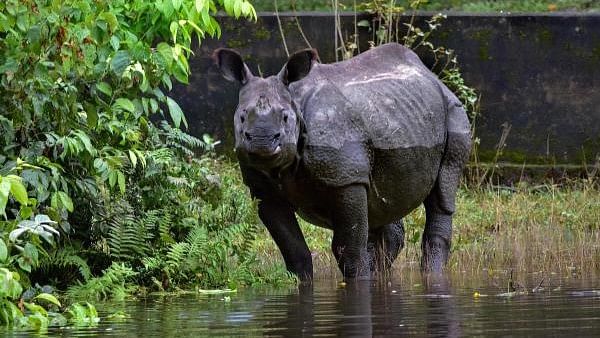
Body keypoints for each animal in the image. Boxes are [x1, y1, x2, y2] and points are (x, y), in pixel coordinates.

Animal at [213, 43, 472, 282]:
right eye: (242, 117)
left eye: (286, 117)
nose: (262, 141)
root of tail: (432, 76)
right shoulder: (264, 191)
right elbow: (293, 249)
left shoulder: (347, 179)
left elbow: (348, 248)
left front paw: (360, 282)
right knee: (383, 206)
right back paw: (381, 274)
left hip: (454, 112)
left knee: (442, 194)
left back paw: (431, 275)